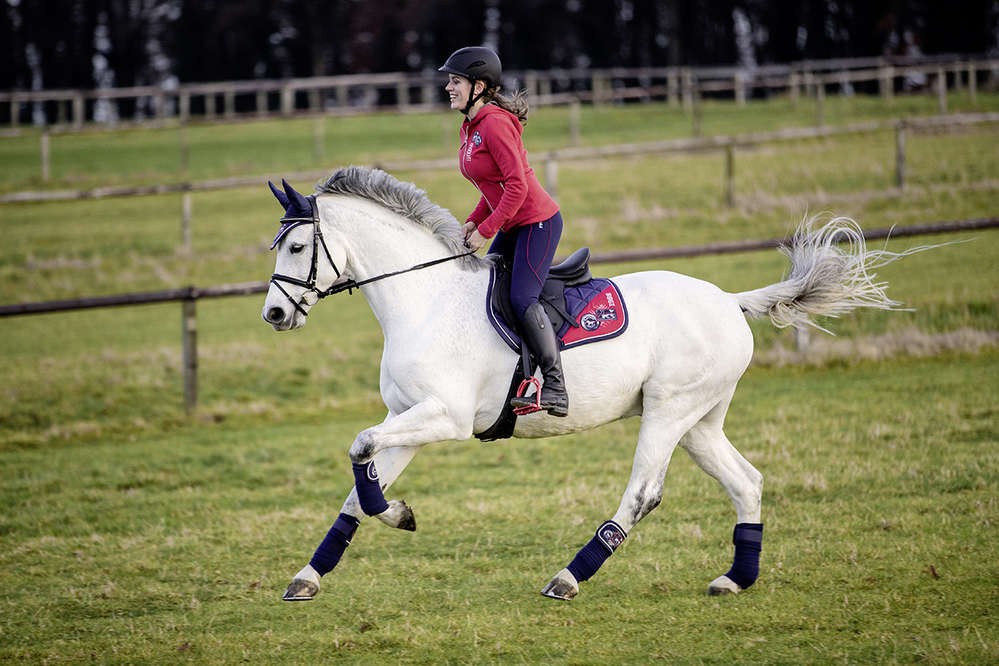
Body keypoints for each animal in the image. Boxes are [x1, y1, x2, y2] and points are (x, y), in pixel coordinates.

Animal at [260, 166, 928, 600]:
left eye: (295, 247)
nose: (274, 314)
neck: (423, 300)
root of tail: (728, 301)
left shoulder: (444, 418)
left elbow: (359, 450)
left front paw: (397, 515)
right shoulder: (407, 420)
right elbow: (360, 483)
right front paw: (317, 571)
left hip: (668, 411)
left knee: (642, 494)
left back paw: (568, 578)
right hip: (698, 422)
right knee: (747, 482)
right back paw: (735, 579)